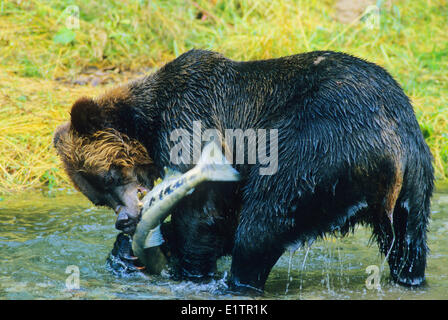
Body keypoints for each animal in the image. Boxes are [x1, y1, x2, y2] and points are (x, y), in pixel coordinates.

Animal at [53, 49, 434, 292]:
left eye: (110, 175)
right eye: (98, 197)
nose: (125, 218)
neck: (150, 120)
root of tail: (390, 144)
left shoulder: (192, 121)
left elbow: (204, 214)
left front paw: (190, 272)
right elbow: (220, 219)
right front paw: (125, 255)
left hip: (316, 147)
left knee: (264, 219)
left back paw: (234, 283)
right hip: (416, 173)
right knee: (408, 241)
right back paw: (410, 277)